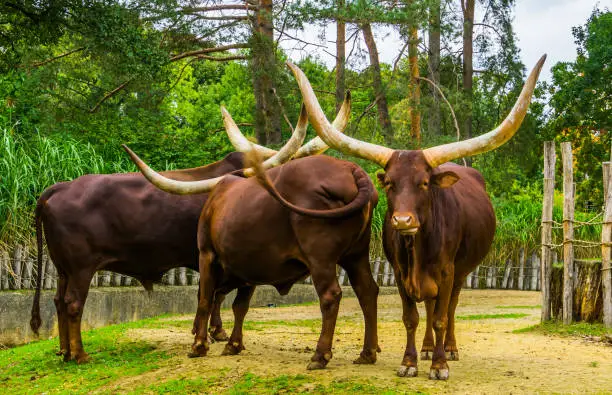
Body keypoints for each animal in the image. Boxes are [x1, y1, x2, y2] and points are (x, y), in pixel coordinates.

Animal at [29, 96, 354, 366]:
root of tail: (59, 187)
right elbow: (213, 296)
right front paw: (212, 334)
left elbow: (216, 296)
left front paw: (212, 332)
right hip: (81, 268)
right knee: (73, 304)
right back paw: (80, 355)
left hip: (63, 269)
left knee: (59, 301)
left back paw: (64, 350)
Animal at [123, 106, 382, 372]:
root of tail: (352, 170)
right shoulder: (250, 265)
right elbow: (240, 305)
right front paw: (233, 344)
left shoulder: (207, 254)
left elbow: (205, 297)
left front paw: (199, 345)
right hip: (356, 255)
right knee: (367, 291)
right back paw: (367, 352)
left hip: (321, 258)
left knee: (331, 295)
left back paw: (320, 355)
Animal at [286, 55, 544, 380]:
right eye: (389, 183)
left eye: (423, 183)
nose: (403, 221)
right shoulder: (399, 272)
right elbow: (411, 317)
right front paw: (410, 362)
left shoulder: (447, 271)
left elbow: (441, 317)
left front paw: (440, 366)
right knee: (431, 306)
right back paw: (426, 348)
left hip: (461, 272)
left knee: (449, 308)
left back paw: (448, 348)